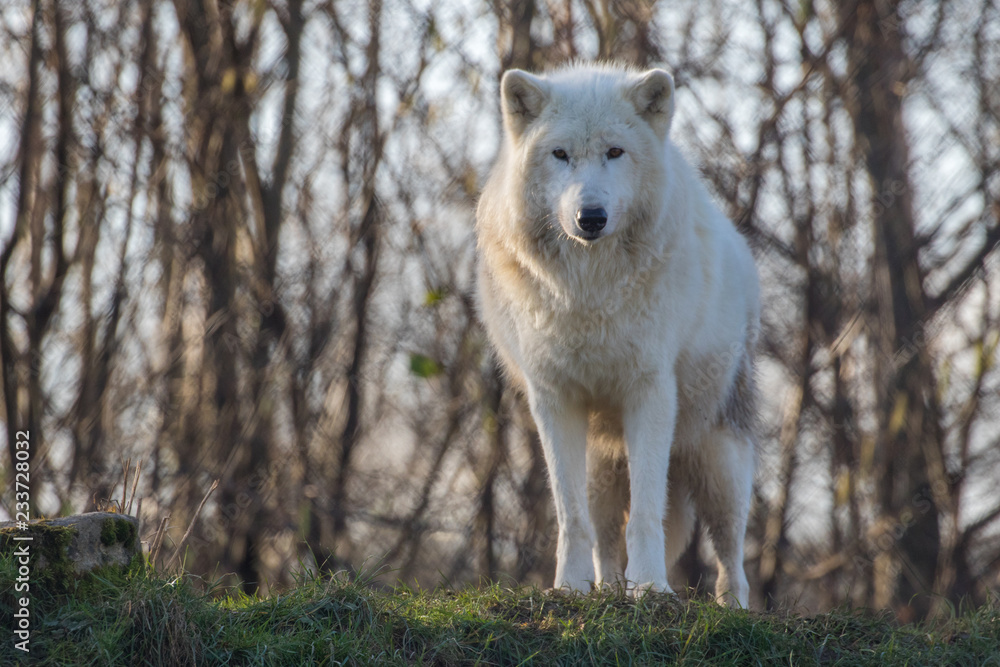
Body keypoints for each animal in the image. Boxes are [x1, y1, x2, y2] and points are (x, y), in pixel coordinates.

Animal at [475, 63, 760, 607]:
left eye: (614, 152)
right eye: (560, 154)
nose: (591, 217)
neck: (589, 293)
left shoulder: (649, 392)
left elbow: (647, 513)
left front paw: (650, 587)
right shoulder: (554, 400)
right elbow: (571, 518)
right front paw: (570, 588)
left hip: (720, 461)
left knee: (731, 552)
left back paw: (732, 607)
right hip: (602, 467)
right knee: (604, 534)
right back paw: (606, 590)